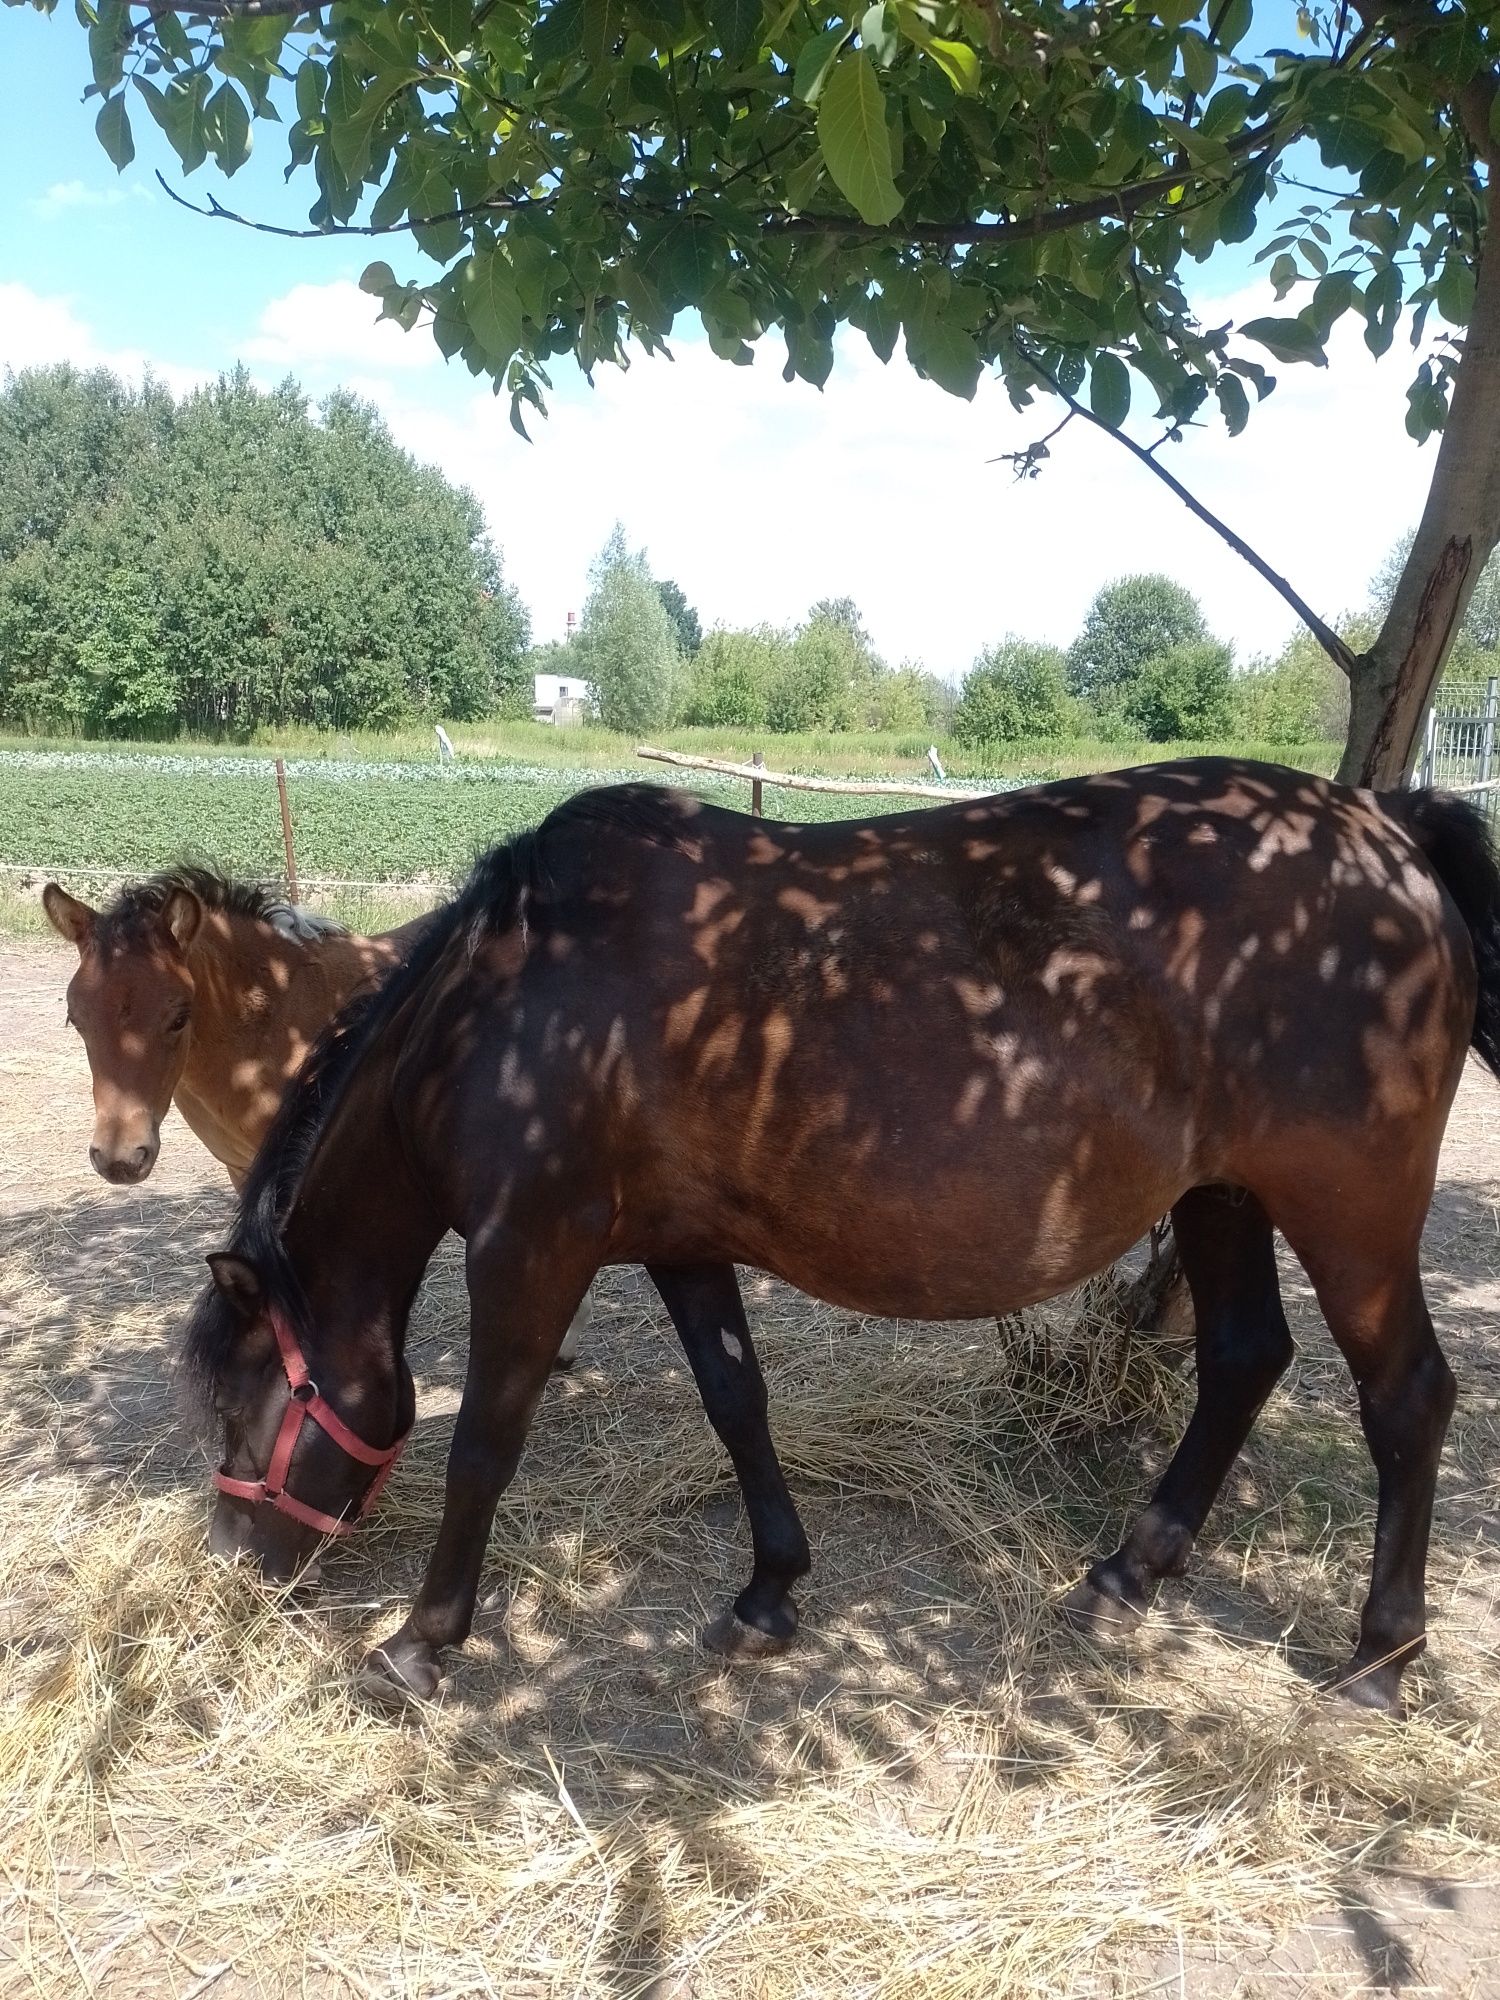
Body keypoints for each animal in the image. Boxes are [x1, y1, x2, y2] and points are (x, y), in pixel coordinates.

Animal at [182, 764, 1496, 1720]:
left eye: (247, 1405)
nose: (239, 1557)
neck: (511, 1003)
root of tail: (1386, 825)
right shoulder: (679, 1244)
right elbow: (736, 1401)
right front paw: (768, 1592)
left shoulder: (529, 1249)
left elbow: (482, 1447)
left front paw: (420, 1640)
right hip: (1225, 1192)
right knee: (1241, 1358)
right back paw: (1128, 1571)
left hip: (1349, 1213)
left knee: (1407, 1397)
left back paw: (1379, 1660)